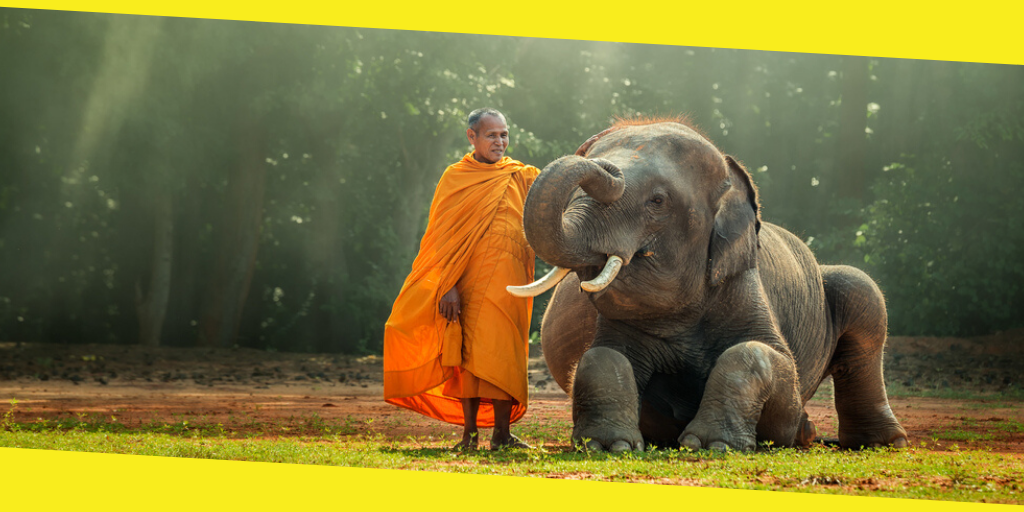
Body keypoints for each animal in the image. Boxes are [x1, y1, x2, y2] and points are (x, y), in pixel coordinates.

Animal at [507, 117, 909, 452]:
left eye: (657, 200)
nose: (602, 163)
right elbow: (602, 355)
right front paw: (608, 446)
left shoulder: (744, 287)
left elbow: (768, 358)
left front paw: (713, 445)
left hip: (850, 295)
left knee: (862, 296)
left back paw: (878, 442)